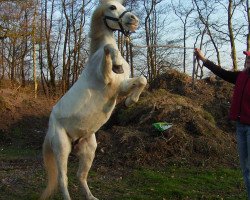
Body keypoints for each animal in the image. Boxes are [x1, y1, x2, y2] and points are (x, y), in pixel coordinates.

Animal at [40, 0, 147, 200]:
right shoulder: (106, 79)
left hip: (89, 148)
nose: (134, 19)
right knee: (63, 179)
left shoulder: (120, 87)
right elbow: (108, 48)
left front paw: (130, 101)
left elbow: (142, 79)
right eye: (112, 7)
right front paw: (117, 63)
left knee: (80, 175)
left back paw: (91, 197)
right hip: (62, 148)